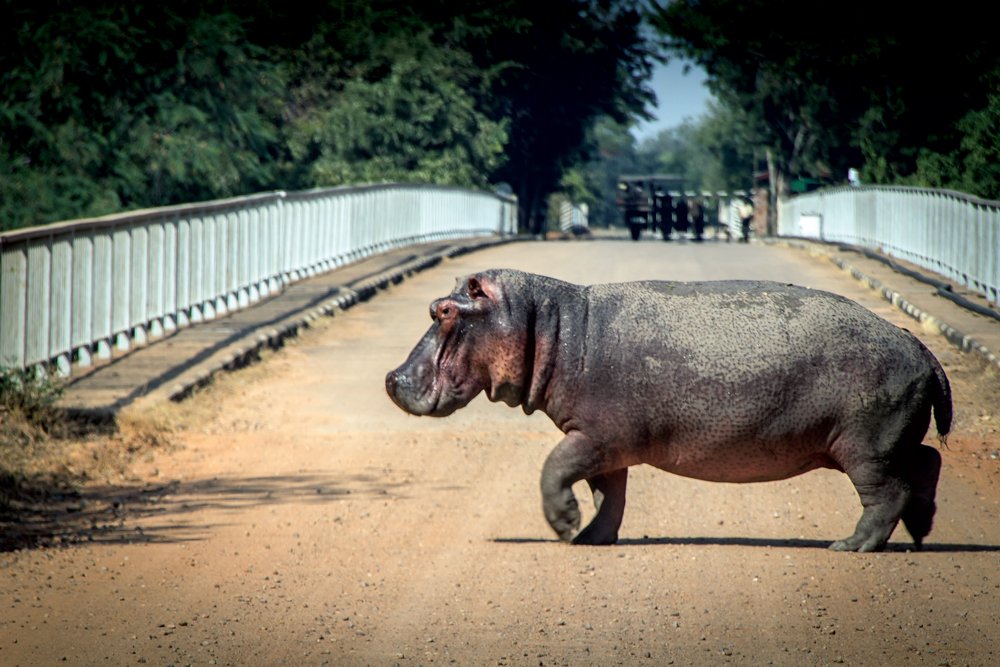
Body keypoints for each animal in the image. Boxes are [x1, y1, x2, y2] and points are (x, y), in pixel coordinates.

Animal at [384, 268, 952, 552]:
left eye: (445, 310)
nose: (391, 379)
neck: (549, 324)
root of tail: (920, 346)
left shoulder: (595, 436)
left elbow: (555, 468)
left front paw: (564, 526)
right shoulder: (606, 444)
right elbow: (609, 495)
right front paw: (590, 539)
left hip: (864, 447)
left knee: (886, 493)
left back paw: (848, 546)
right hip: (879, 442)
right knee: (927, 463)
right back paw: (920, 534)